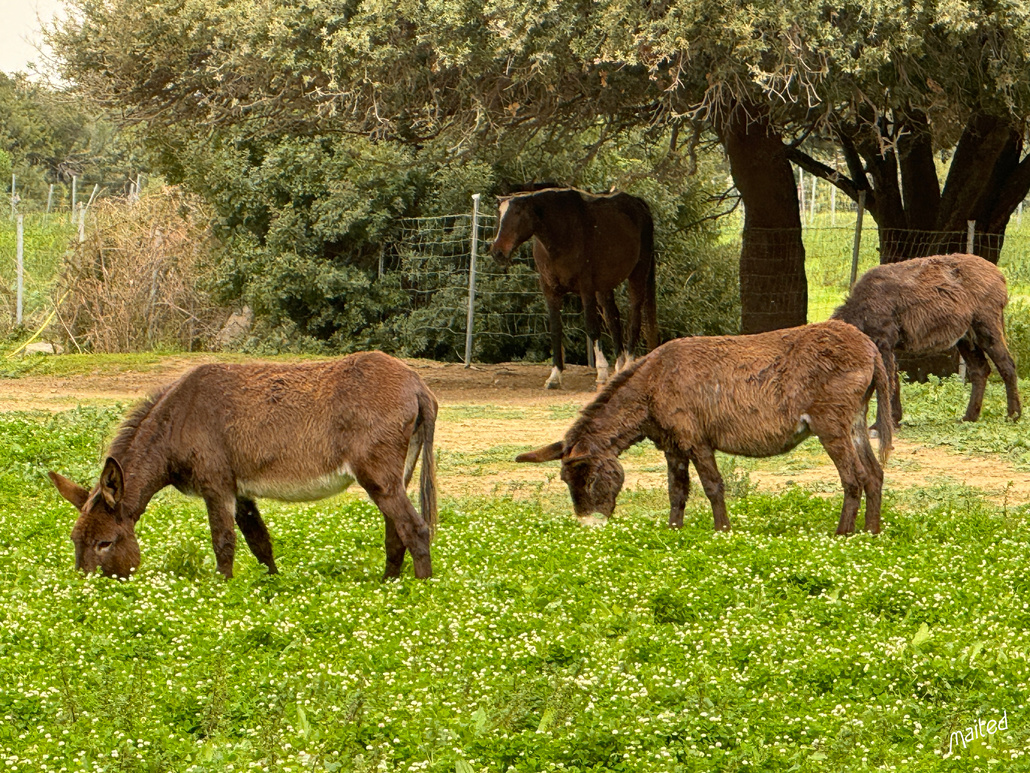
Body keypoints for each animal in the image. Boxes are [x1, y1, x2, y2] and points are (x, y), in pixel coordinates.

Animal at [48, 354, 438, 577]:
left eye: (105, 543)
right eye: (74, 541)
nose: (84, 592)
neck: (177, 421)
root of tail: (417, 384)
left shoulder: (216, 485)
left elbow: (223, 542)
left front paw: (223, 590)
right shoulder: (241, 491)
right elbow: (259, 542)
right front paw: (272, 586)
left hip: (378, 475)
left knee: (416, 529)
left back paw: (420, 595)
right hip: (398, 471)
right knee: (396, 532)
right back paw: (389, 586)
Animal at [488, 186, 650, 389]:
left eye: (517, 213)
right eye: (498, 214)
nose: (498, 252)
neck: (563, 234)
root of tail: (637, 203)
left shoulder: (586, 289)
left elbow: (592, 327)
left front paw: (601, 372)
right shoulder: (550, 291)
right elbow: (556, 329)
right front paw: (555, 375)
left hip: (638, 273)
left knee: (634, 314)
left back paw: (628, 364)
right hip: (605, 286)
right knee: (613, 318)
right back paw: (619, 367)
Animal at [519, 321, 889, 531]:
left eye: (589, 478)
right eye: (567, 481)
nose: (590, 528)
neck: (653, 383)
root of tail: (870, 348)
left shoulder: (696, 441)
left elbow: (712, 486)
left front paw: (722, 531)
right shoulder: (673, 447)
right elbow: (676, 491)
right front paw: (674, 532)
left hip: (831, 425)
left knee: (853, 477)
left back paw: (842, 534)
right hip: (854, 422)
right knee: (873, 474)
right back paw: (871, 532)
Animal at [836, 252, 1021, 430]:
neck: (861, 311)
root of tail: (999, 275)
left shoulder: (883, 342)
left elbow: (885, 382)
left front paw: (880, 425)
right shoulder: (888, 347)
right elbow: (894, 380)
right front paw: (895, 419)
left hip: (986, 324)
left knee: (1006, 365)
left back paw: (1013, 415)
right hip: (966, 336)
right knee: (980, 370)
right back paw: (969, 417)